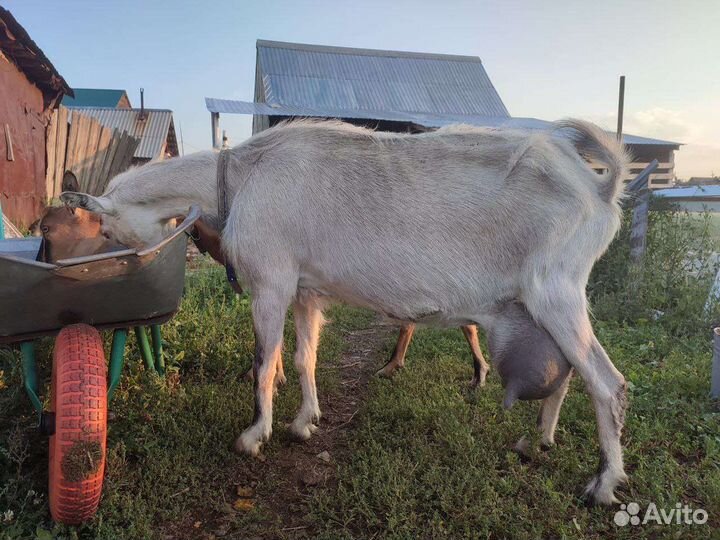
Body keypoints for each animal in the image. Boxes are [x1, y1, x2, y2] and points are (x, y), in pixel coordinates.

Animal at [61, 119, 630, 504]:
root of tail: (598, 186)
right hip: (541, 303)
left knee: (607, 383)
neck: (240, 176)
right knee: (567, 372)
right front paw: (304, 422)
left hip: (555, 287)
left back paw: (603, 484)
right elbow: (304, 357)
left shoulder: (271, 280)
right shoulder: (306, 290)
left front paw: (254, 435)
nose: (114, 265)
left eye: (105, 228)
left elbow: (264, 362)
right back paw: (541, 440)